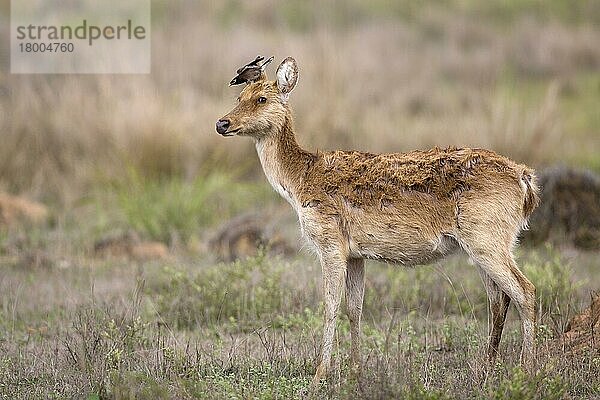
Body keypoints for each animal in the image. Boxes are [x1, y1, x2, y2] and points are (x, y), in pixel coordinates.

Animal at [214, 55, 540, 388]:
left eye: (261, 98)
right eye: (239, 97)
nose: (222, 123)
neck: (298, 182)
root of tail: (526, 181)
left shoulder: (330, 242)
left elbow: (329, 306)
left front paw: (319, 375)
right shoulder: (356, 254)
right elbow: (354, 308)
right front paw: (356, 371)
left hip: (487, 237)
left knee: (525, 291)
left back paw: (529, 369)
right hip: (484, 243)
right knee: (498, 299)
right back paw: (486, 368)